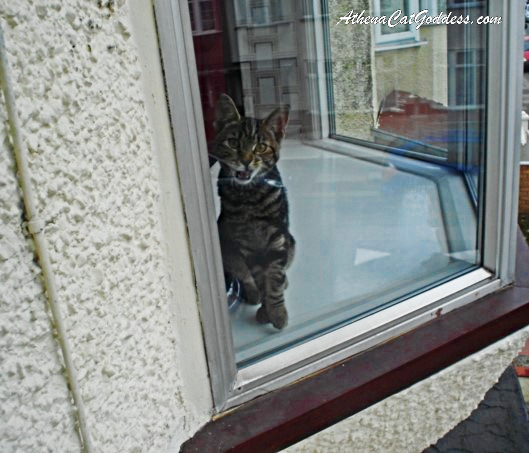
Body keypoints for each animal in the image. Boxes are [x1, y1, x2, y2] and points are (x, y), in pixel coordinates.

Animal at [209, 94, 292, 328]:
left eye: (261, 147)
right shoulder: (246, 244)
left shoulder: (277, 238)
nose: (245, 160)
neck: (250, 198)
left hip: (290, 241)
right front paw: (266, 308)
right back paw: (252, 293)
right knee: (243, 274)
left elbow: (274, 277)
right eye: (233, 143)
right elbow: (258, 277)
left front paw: (276, 311)